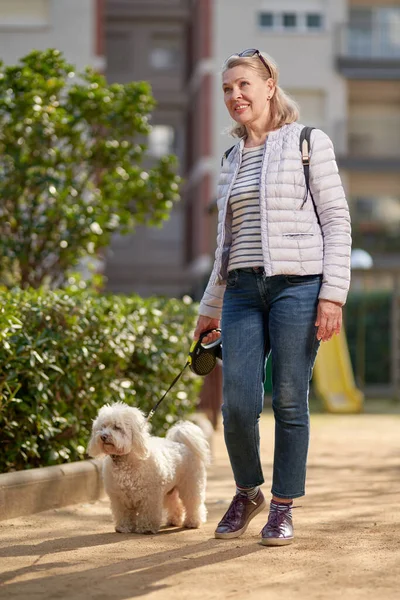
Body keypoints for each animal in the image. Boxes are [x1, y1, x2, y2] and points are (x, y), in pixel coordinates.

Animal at [88, 404, 211, 536]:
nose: (103, 436)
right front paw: (124, 527)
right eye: (103, 427)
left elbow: (148, 514)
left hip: (191, 485)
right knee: (175, 504)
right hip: (169, 491)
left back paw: (193, 522)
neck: (126, 459)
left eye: (117, 427)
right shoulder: (120, 498)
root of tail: (182, 444)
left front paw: (146, 528)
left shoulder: (150, 497)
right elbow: (123, 514)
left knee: (194, 504)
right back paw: (174, 520)